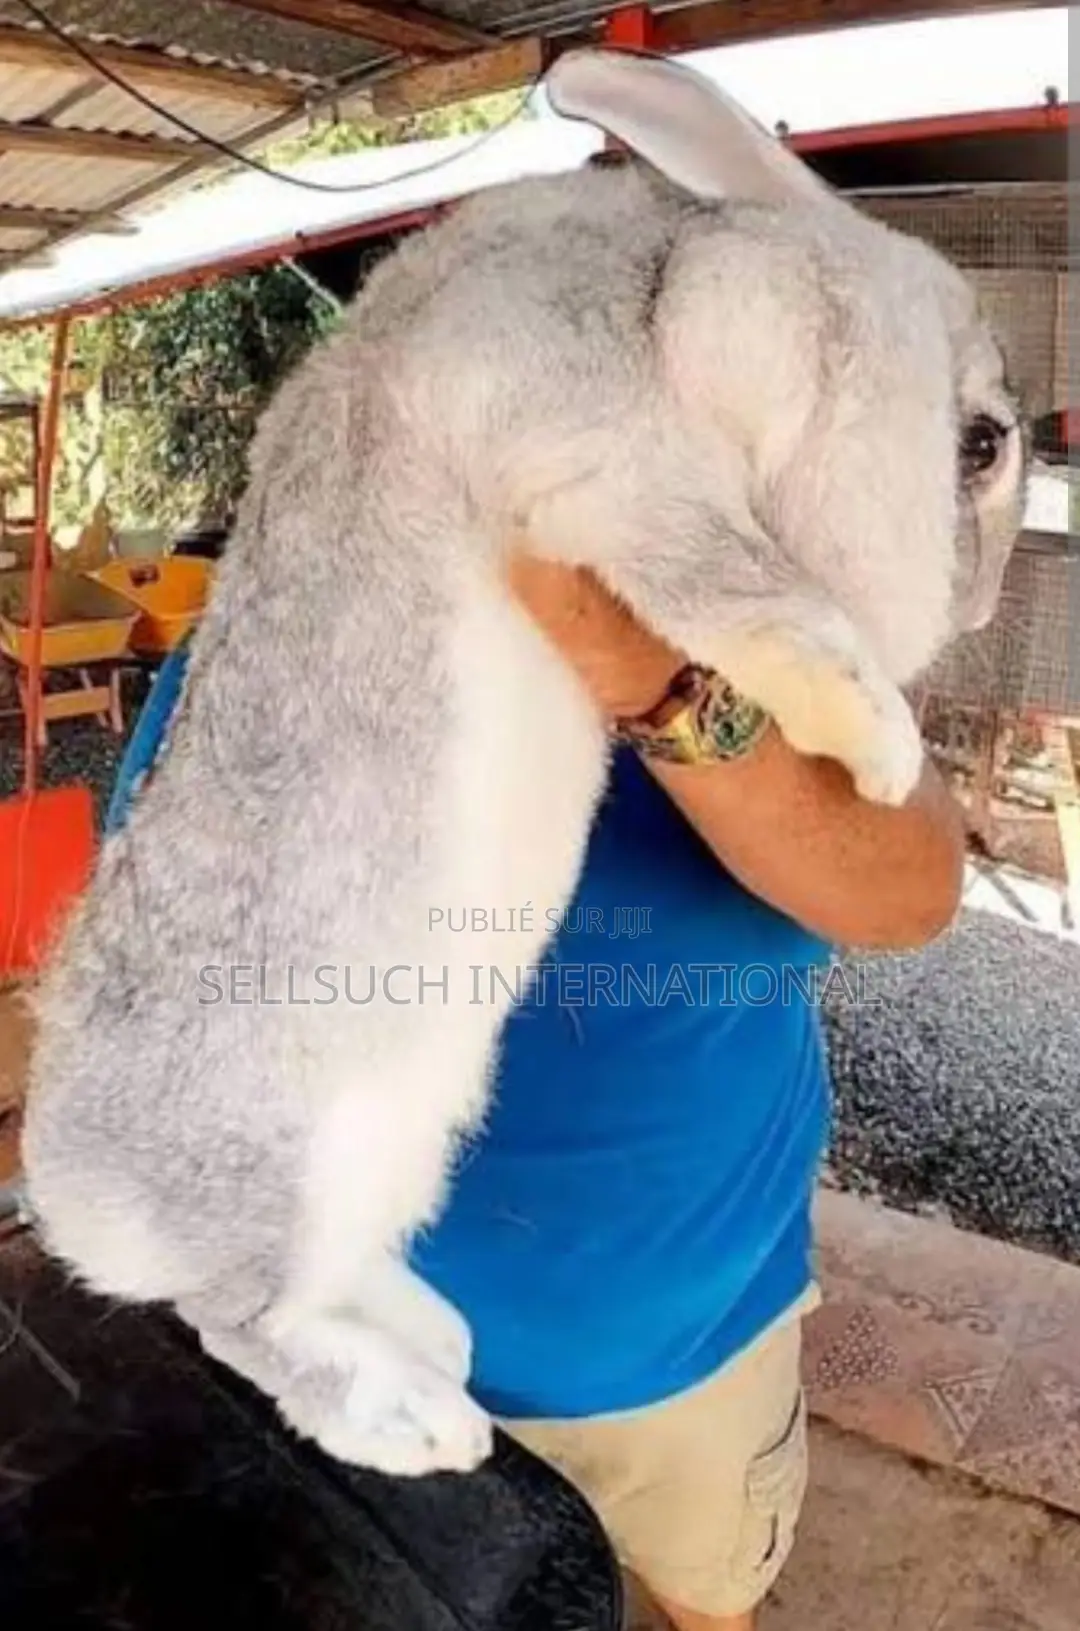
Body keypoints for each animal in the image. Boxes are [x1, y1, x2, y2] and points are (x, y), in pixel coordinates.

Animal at [22, 48, 1026, 1478]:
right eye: (982, 443)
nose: (980, 603)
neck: (683, 292)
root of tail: (69, 1196)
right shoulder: (612, 475)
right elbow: (748, 596)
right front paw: (880, 744)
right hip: (284, 1178)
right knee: (249, 1320)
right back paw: (417, 1422)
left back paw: (431, 1338)